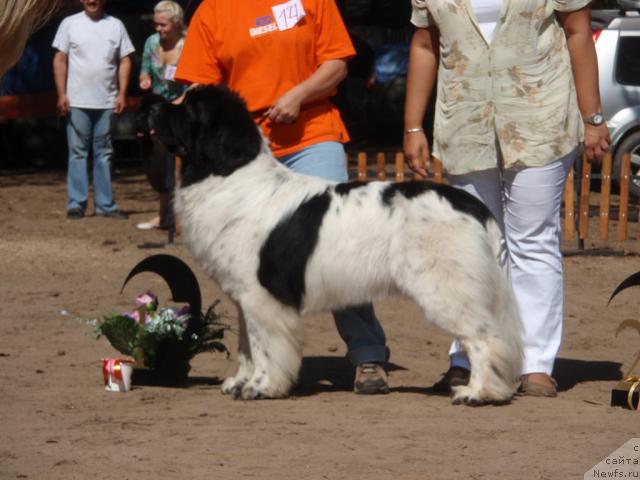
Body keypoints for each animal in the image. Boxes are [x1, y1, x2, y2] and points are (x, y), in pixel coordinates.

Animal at [151, 83, 524, 404]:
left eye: (189, 108)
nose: (152, 106)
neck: (229, 172)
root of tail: (472, 205)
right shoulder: (244, 295)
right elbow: (246, 344)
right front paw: (239, 382)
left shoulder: (262, 295)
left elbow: (264, 345)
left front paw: (260, 387)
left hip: (446, 287)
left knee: (484, 338)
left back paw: (478, 393)